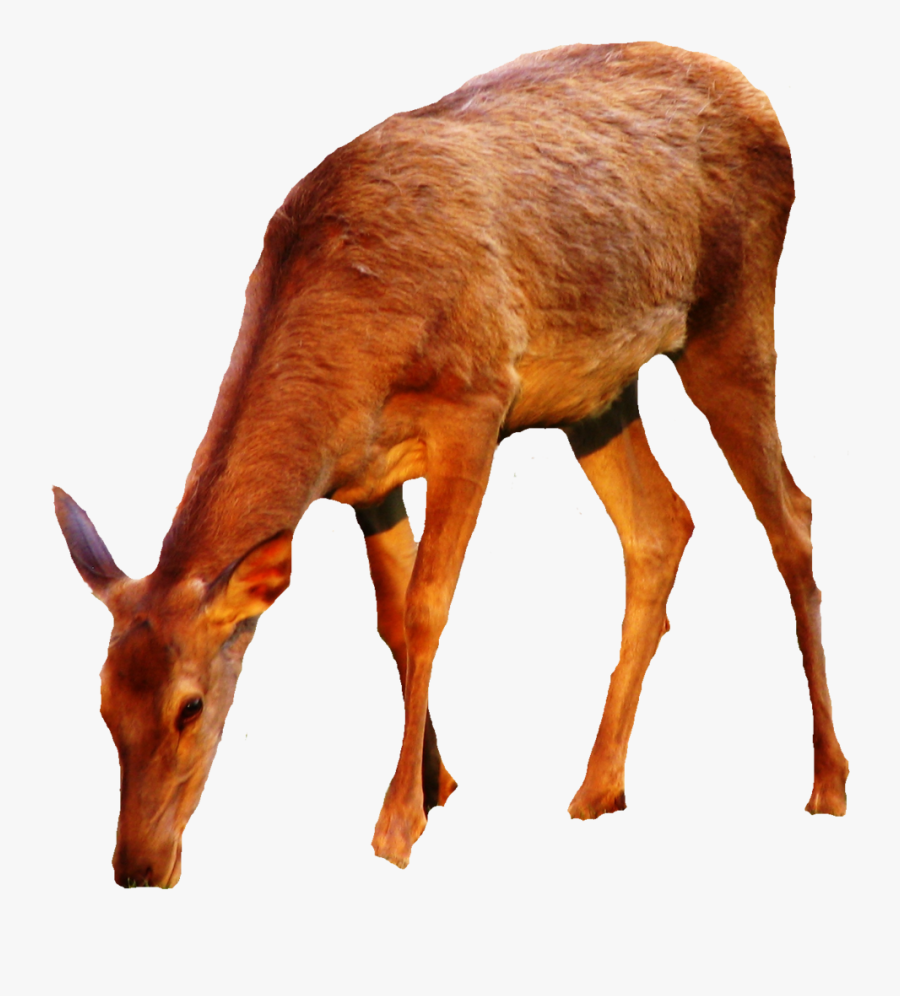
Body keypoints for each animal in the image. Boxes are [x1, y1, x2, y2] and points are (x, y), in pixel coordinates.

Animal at [54, 42, 849, 887]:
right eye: (102, 703)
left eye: (191, 706)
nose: (136, 866)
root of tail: (763, 104)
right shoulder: (367, 482)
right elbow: (391, 620)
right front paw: (437, 785)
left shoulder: (475, 401)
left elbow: (430, 605)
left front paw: (397, 822)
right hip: (598, 398)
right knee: (663, 525)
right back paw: (600, 785)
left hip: (730, 316)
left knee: (791, 514)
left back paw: (827, 780)